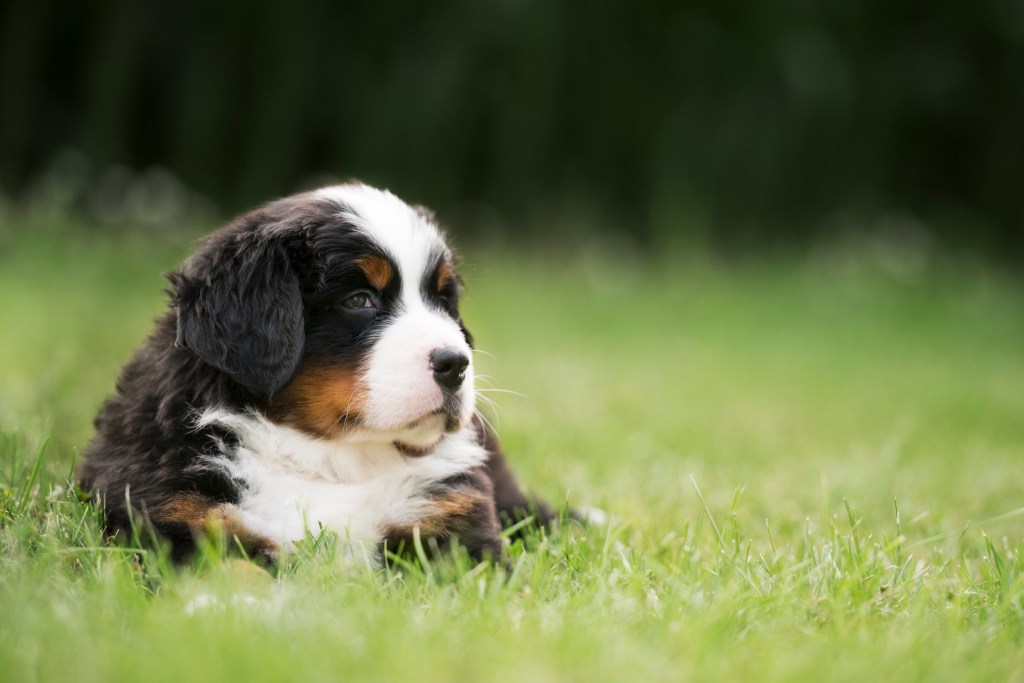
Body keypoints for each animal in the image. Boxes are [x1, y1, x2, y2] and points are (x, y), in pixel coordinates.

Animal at [78, 183, 557, 565]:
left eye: (442, 300)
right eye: (359, 300)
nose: (455, 364)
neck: (330, 457)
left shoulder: (452, 518)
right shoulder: (173, 512)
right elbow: (230, 570)